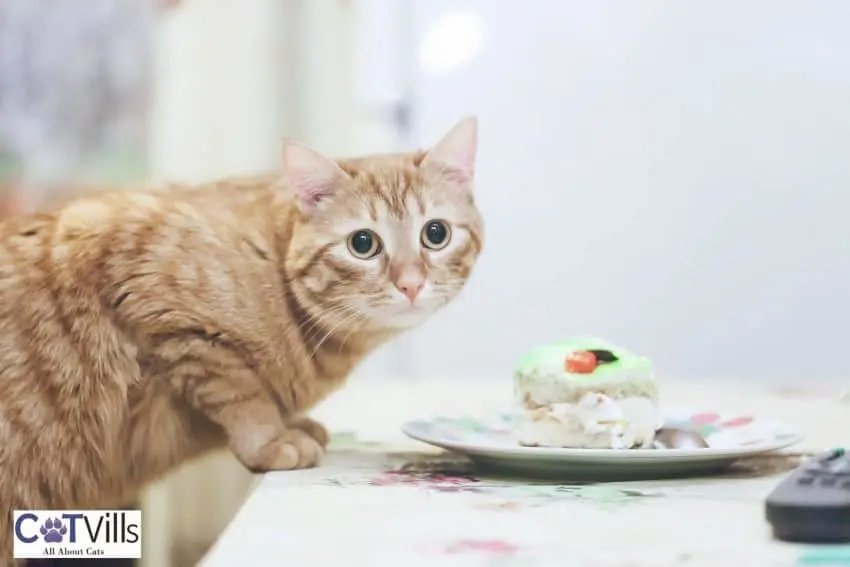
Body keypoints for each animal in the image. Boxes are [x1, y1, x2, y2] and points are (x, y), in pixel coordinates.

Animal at [0, 116, 480, 564]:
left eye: (435, 234)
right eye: (363, 243)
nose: (411, 284)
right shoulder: (166, 308)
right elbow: (242, 394)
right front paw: (271, 441)